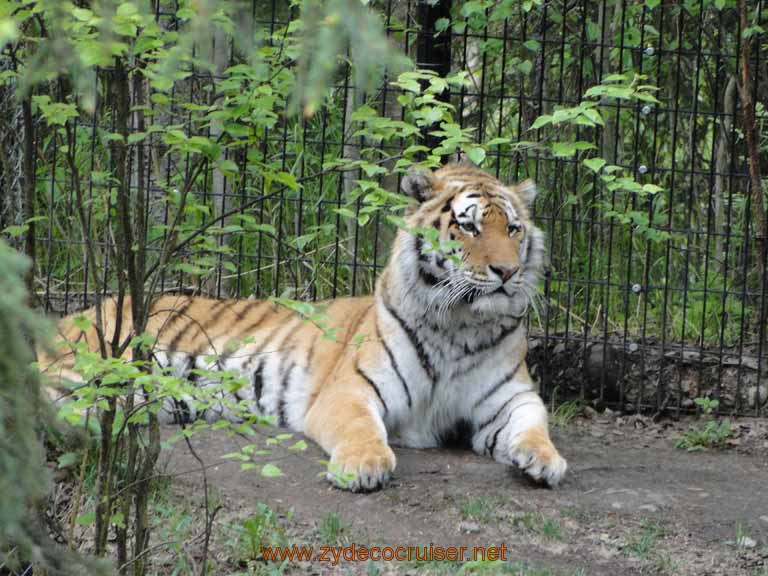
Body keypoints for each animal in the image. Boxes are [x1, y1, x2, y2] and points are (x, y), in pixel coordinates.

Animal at [43, 162, 568, 490]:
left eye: (513, 229)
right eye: (469, 226)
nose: (507, 272)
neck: (460, 325)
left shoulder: (511, 396)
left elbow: (533, 424)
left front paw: (545, 460)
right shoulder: (350, 390)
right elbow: (360, 428)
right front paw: (363, 465)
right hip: (90, 366)